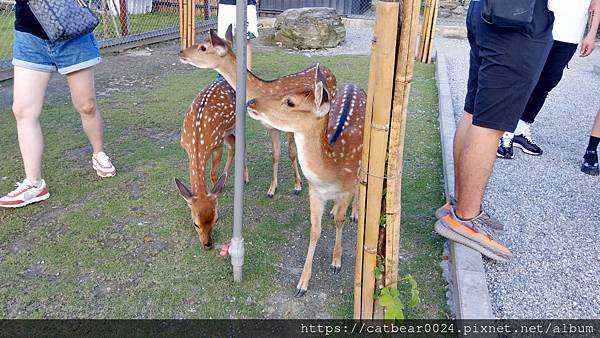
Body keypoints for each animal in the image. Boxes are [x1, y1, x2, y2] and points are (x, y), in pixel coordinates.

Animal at [177, 27, 338, 199]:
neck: (265, 90)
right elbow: (275, 155)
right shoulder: (271, 128)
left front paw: (297, 186)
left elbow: (291, 153)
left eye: (203, 47)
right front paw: (271, 189)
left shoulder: (290, 126)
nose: (181, 52)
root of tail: (328, 70)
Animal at [246, 64, 368, 298]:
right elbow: (314, 230)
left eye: (290, 102)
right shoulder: (314, 191)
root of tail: (354, 85)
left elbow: (340, 221)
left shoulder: (346, 188)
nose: (251, 102)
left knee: (360, 185)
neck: (330, 173)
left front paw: (336, 262)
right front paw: (302, 284)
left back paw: (355, 213)